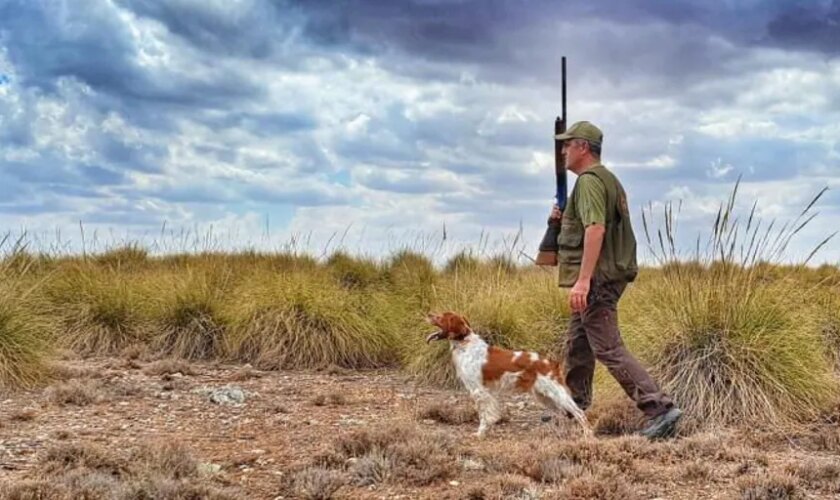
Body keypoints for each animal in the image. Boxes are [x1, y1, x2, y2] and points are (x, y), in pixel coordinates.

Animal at [426, 312, 592, 438]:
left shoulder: (479, 391)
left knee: (579, 413)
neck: (465, 345)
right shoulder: (486, 392)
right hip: (545, 397)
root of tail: (551, 363)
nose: (428, 314)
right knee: (563, 414)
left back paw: (587, 435)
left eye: (440, 317)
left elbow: (484, 415)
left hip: (557, 394)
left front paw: (480, 433)